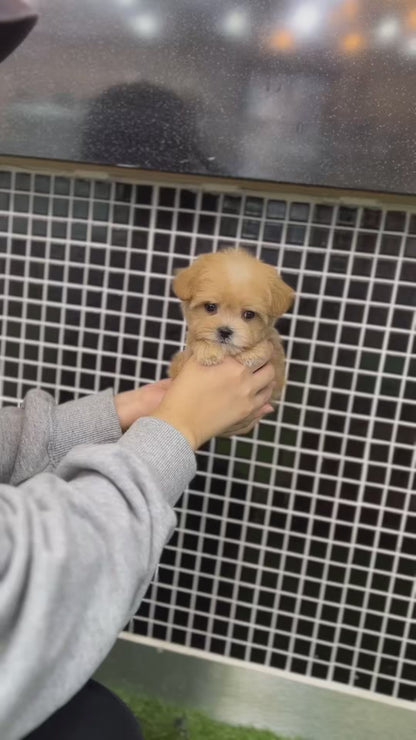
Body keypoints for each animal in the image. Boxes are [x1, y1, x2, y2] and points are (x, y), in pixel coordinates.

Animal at [167, 247, 294, 398]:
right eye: (210, 307)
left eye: (249, 314)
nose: (225, 332)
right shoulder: (180, 363)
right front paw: (208, 350)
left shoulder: (277, 376)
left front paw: (253, 352)